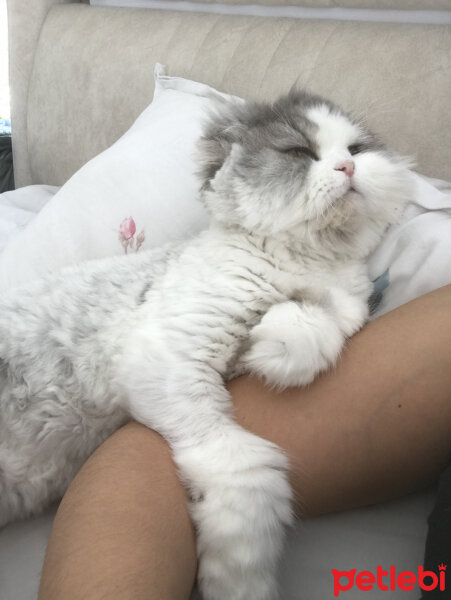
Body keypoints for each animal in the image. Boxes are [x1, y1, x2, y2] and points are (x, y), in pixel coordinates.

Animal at [0, 89, 414, 600]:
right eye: (299, 152)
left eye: (357, 150)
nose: (348, 168)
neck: (303, 263)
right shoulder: (171, 360)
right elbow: (246, 467)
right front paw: (240, 579)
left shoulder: (344, 301)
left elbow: (314, 330)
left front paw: (271, 342)